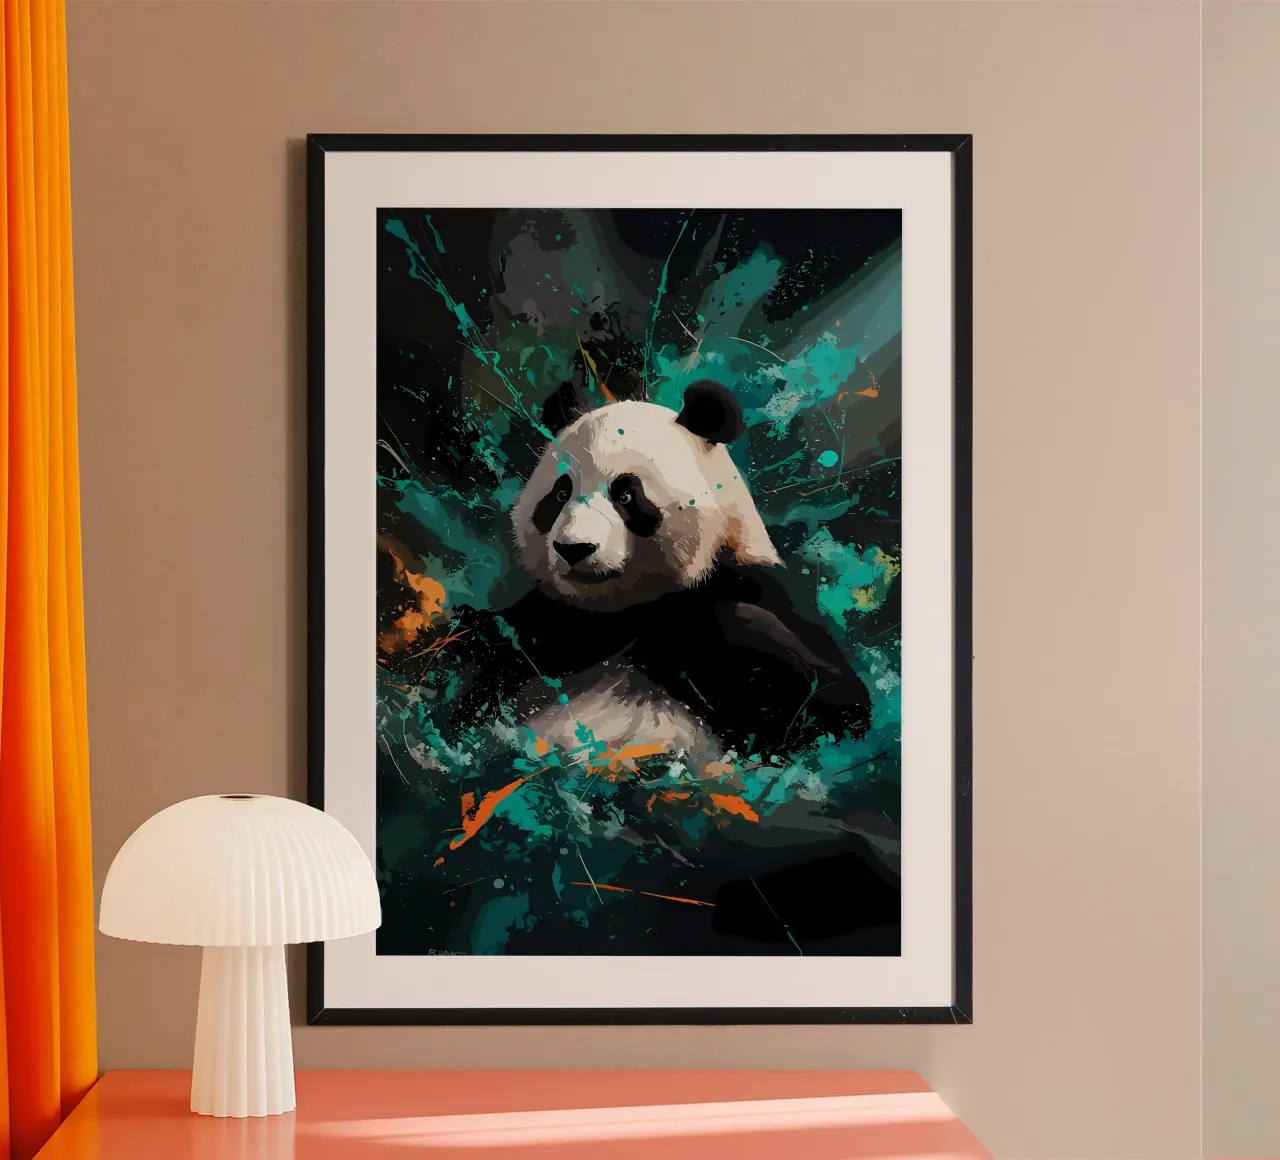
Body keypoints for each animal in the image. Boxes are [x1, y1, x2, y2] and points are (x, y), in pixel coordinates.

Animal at [464, 375, 872, 767]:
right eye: (560, 494)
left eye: (626, 495)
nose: (573, 548)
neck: (628, 611)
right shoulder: (544, 626)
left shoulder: (753, 589)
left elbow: (829, 705)